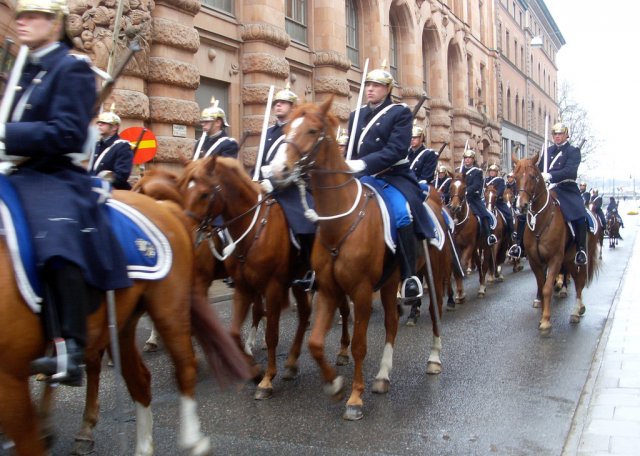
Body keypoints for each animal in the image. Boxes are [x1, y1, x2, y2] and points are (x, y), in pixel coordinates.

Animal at [0, 190, 250, 456]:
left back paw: (193, 439)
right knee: (139, 380)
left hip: (168, 307)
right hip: (121, 324)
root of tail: (165, 207)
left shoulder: (10, 380)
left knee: (184, 365)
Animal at [175, 156, 350, 400]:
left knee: (343, 309)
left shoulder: (272, 287)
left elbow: (271, 334)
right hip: (298, 281)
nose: (185, 233)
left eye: (204, 194)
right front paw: (253, 370)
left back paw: (342, 351)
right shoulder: (243, 287)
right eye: (181, 189)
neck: (253, 228)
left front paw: (266, 379)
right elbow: (234, 332)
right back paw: (292, 362)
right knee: (305, 313)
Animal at [270, 98, 444, 422]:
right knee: (391, 322)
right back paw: (383, 376)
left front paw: (354, 399)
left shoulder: (361, 292)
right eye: (285, 129)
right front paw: (335, 385)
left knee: (435, 311)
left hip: (436, 273)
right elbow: (315, 342)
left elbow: (360, 346)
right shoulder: (328, 290)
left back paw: (434, 358)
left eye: (312, 130)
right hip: (389, 283)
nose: (278, 170)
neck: (340, 221)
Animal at [510, 153, 600, 332]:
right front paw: (542, 313)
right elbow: (541, 284)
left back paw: (576, 310)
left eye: (533, 176)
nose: (521, 206)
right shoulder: (535, 260)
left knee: (579, 282)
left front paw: (545, 320)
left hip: (578, 259)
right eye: (515, 178)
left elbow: (547, 288)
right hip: (568, 259)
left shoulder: (555, 259)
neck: (541, 219)